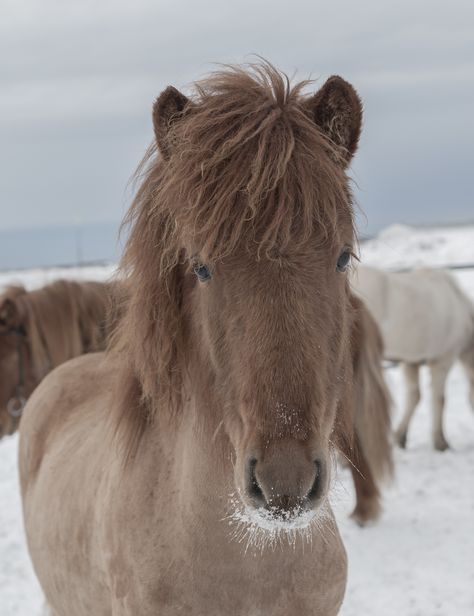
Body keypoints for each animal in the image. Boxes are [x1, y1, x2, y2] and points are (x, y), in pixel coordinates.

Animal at [352, 262, 474, 450]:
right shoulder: (443, 361)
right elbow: (439, 400)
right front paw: (441, 442)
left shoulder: (410, 362)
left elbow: (414, 397)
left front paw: (399, 437)